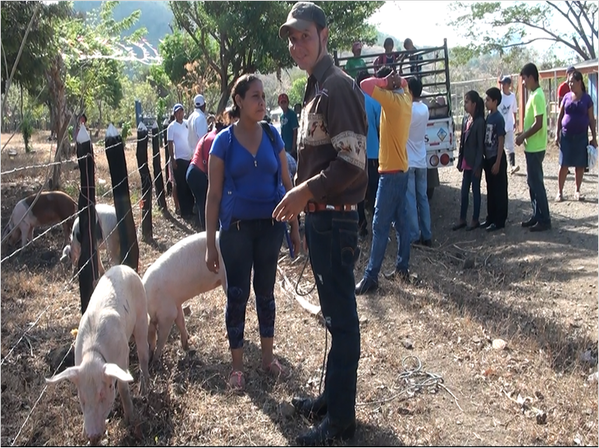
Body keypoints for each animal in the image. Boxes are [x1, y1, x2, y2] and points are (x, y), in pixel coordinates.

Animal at [45, 264, 150, 442]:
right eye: (81, 398)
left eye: (102, 394)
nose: (92, 436)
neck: (94, 355)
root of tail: (124, 266)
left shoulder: (122, 353)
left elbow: (123, 387)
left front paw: (130, 419)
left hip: (142, 313)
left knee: (144, 353)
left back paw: (144, 390)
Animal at [142, 231, 227, 360]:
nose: (149, 359)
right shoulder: (176, 304)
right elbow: (180, 321)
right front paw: (186, 346)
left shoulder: (167, 313)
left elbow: (162, 338)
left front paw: (156, 358)